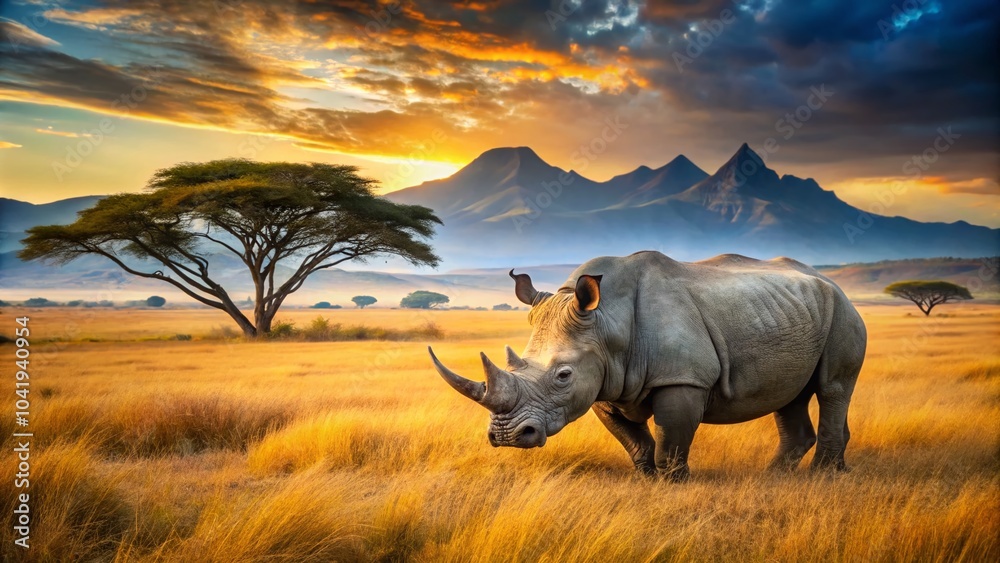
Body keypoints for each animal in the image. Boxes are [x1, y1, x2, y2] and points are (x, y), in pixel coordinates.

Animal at [429, 251, 867, 480]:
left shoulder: (682, 378)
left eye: (563, 375)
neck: (607, 320)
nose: (506, 436)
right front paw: (646, 479)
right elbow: (633, 439)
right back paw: (776, 476)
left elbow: (672, 436)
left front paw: (674, 483)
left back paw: (822, 477)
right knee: (790, 396)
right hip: (791, 312)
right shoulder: (605, 382)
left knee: (833, 388)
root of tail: (834, 284)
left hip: (843, 314)